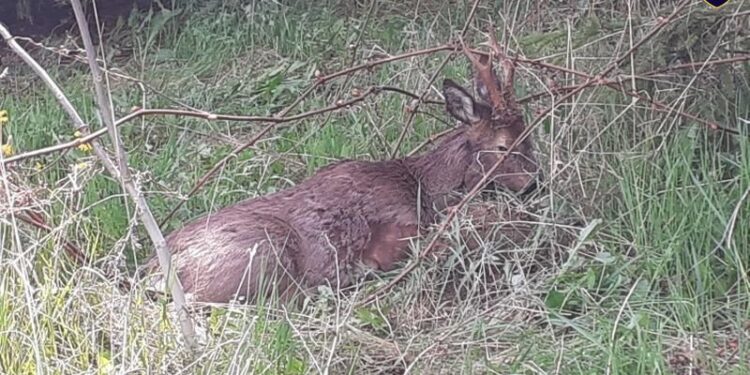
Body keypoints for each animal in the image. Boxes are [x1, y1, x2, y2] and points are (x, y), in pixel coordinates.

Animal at [141, 41, 540, 306]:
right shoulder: (397, 230)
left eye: (531, 136)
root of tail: (150, 272)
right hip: (265, 249)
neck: (423, 188)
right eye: (503, 146)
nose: (534, 184)